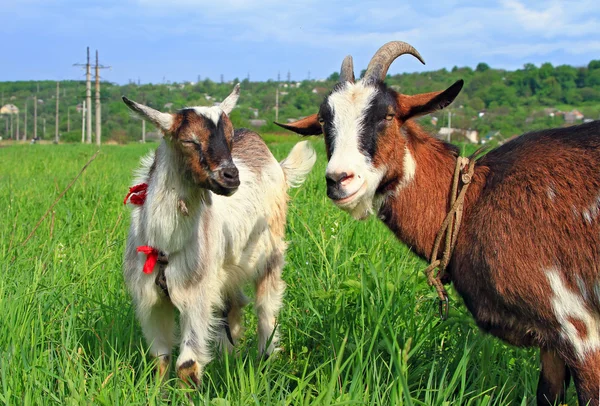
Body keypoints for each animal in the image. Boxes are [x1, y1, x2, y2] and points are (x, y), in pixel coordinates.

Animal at [123, 84, 318, 386]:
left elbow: (187, 364)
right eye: (189, 141)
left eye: (228, 137)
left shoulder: (196, 294)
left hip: (270, 254)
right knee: (233, 307)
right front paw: (158, 392)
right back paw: (230, 356)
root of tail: (279, 166)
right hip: (228, 268)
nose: (231, 177)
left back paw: (266, 359)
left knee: (266, 308)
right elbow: (160, 360)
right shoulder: (150, 299)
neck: (164, 242)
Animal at [278, 42, 600, 406]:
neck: (474, 200)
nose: (338, 180)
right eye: (323, 120)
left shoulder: (579, 325)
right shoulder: (551, 340)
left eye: (388, 115)